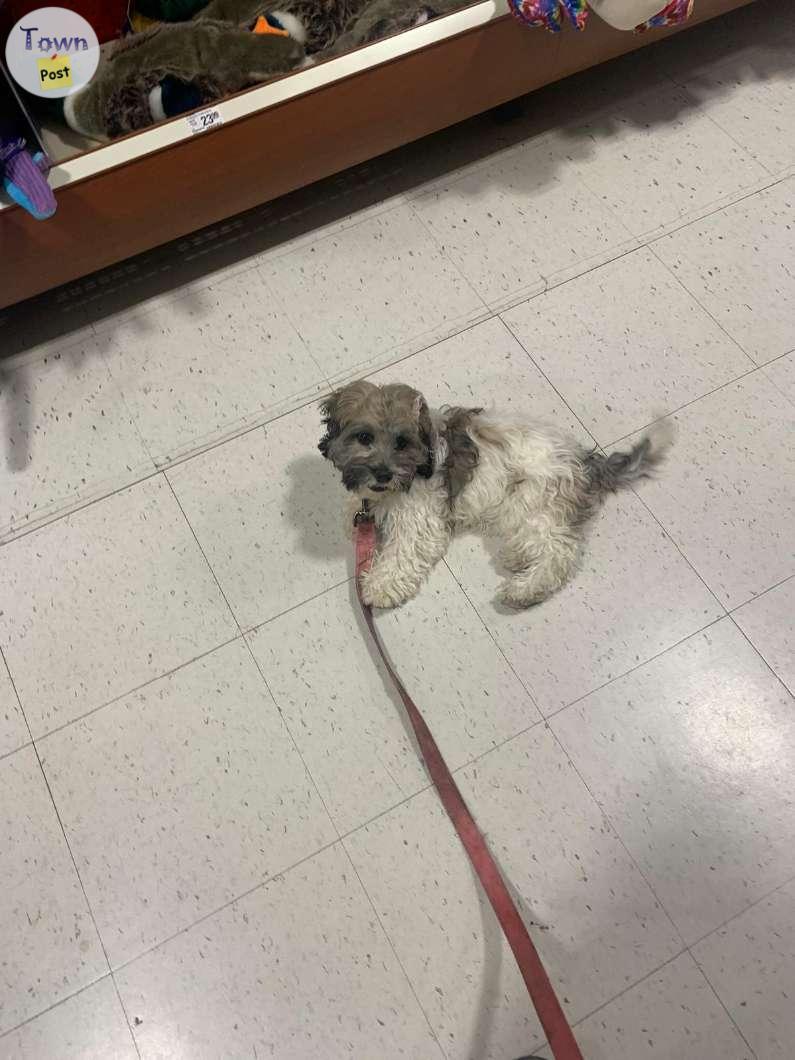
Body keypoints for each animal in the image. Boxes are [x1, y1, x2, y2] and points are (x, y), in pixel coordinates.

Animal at [317, 383, 674, 614]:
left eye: (402, 443)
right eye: (364, 437)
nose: (382, 474)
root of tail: (584, 460)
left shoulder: (421, 519)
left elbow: (401, 554)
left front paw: (380, 586)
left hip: (532, 501)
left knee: (559, 552)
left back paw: (524, 589)